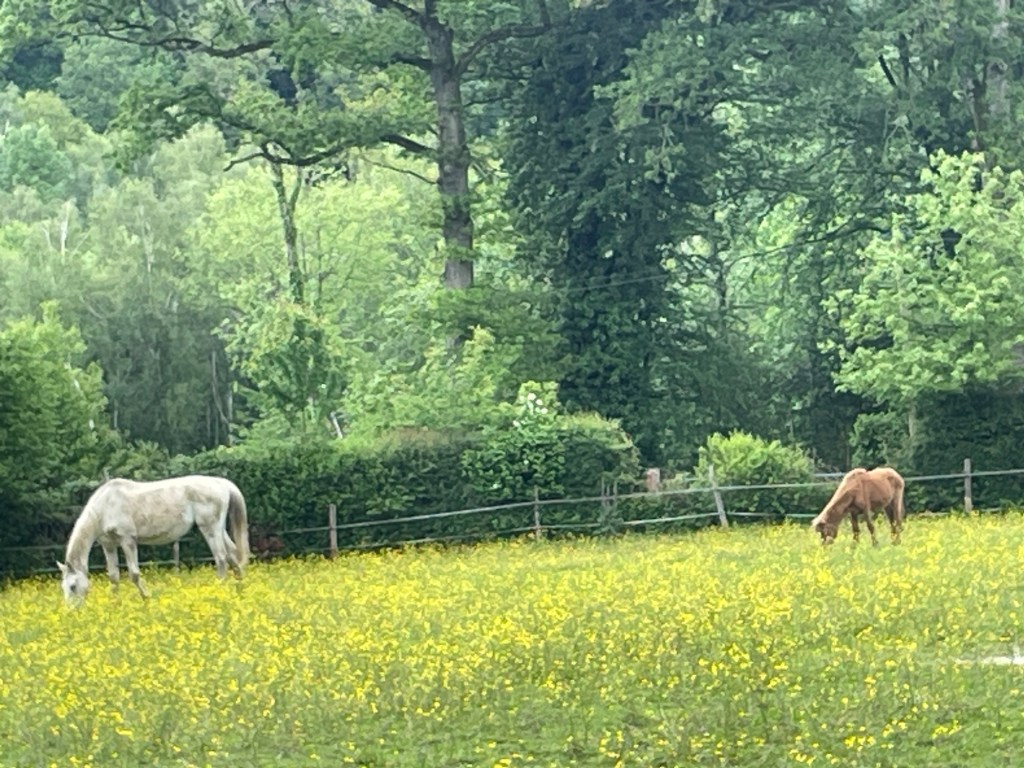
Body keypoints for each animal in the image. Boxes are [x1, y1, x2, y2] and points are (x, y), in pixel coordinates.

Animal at [57, 475, 249, 603]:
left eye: (72, 586)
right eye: (63, 587)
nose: (72, 612)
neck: (105, 507)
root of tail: (221, 483)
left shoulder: (128, 540)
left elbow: (134, 574)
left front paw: (146, 598)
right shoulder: (109, 545)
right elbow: (113, 576)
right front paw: (115, 603)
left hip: (210, 528)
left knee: (221, 559)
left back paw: (219, 590)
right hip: (219, 529)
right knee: (232, 555)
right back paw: (239, 590)